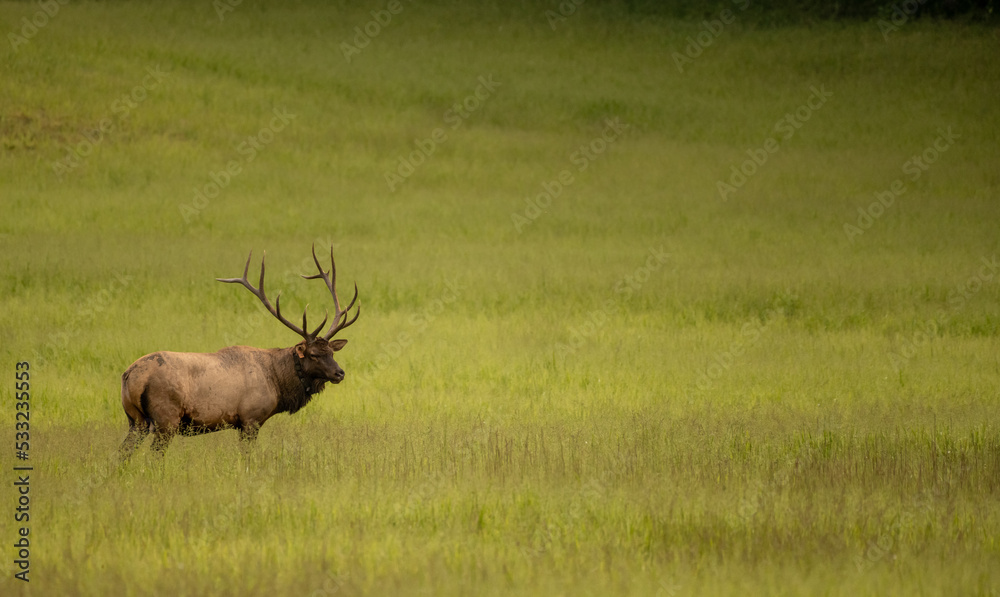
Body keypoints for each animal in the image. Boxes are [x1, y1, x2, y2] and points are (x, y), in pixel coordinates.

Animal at [117, 245, 359, 463]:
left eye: (332, 352)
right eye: (313, 355)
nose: (339, 373)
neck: (278, 383)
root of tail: (130, 375)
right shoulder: (250, 419)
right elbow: (246, 457)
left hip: (135, 420)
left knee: (122, 453)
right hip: (166, 419)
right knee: (153, 456)